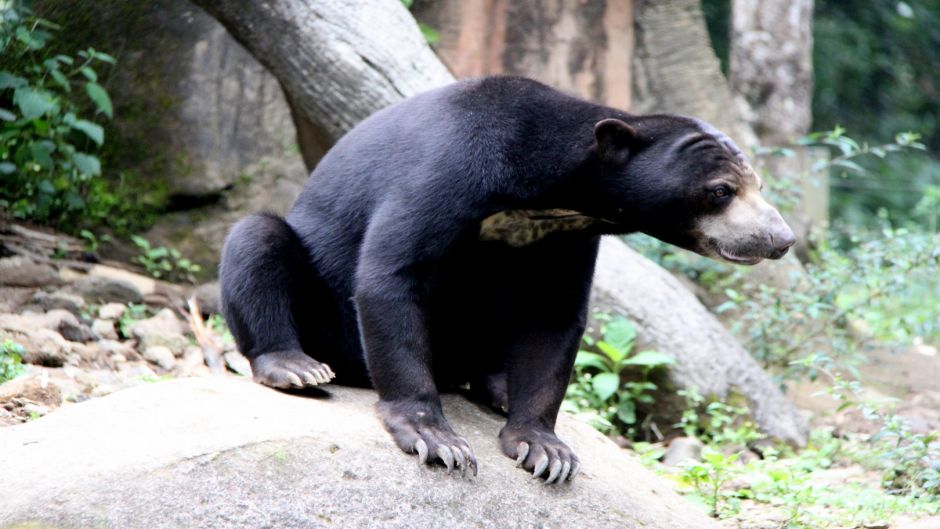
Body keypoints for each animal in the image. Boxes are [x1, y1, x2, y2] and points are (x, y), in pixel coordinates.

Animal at [219, 76, 795, 484]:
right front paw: (437, 440)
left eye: (759, 187)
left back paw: (497, 385)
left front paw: (544, 450)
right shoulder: (449, 167)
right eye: (721, 191)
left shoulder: (566, 234)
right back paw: (297, 367)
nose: (781, 239)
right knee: (256, 240)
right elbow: (393, 275)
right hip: (318, 307)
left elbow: (552, 315)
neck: (545, 190)